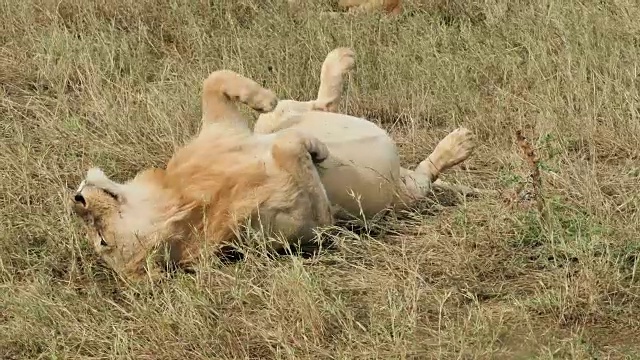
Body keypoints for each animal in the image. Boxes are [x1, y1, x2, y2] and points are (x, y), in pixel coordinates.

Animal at [71, 71, 336, 282]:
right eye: (103, 240)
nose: (76, 200)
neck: (178, 196)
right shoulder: (308, 224)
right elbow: (289, 149)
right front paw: (313, 147)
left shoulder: (221, 127)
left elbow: (214, 78)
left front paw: (266, 101)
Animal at [252, 47, 478, 219]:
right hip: (398, 194)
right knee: (424, 176)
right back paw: (459, 143)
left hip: (277, 113)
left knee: (321, 104)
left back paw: (340, 58)